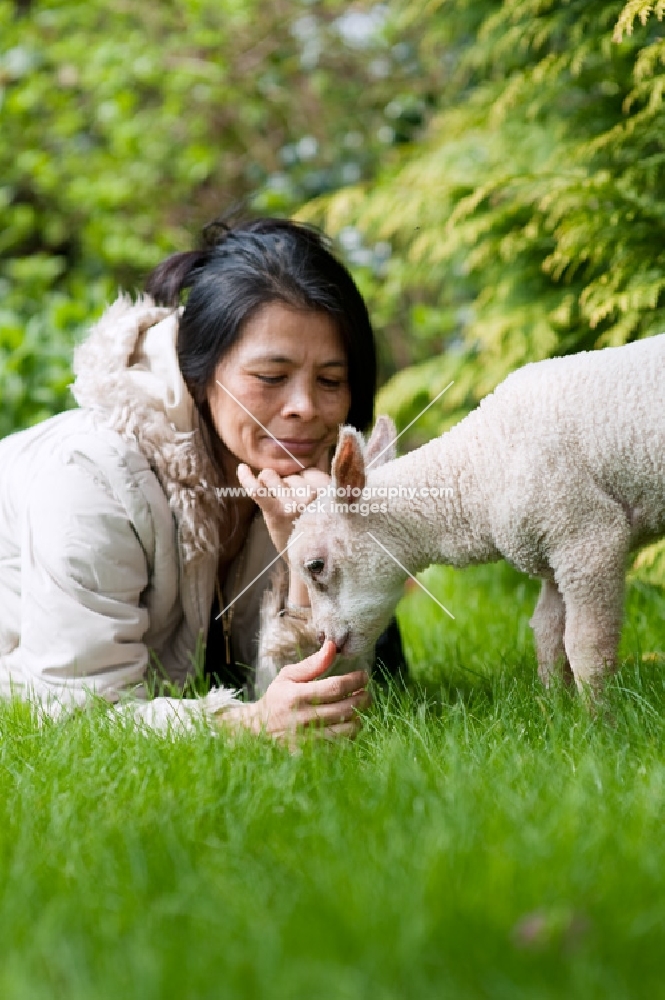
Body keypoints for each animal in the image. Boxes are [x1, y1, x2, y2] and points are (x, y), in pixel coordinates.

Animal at [286, 336, 664, 696]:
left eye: (315, 566)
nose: (321, 638)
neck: (477, 470)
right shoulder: (551, 544)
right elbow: (548, 637)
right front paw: (558, 707)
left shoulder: (586, 535)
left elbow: (586, 646)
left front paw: (598, 717)